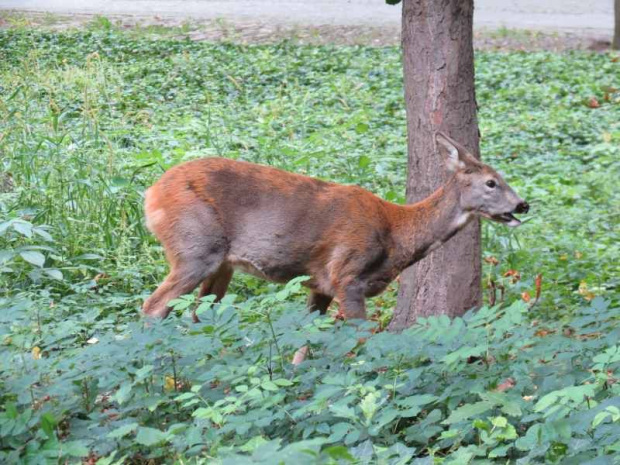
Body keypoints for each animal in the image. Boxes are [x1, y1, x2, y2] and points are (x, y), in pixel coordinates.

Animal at [142, 131, 528, 330]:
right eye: (492, 182)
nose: (523, 205)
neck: (396, 232)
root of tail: (151, 195)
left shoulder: (320, 284)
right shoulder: (347, 274)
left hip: (221, 264)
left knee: (199, 314)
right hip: (195, 247)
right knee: (153, 306)